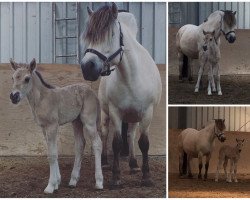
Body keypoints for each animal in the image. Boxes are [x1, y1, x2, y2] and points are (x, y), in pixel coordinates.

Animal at [9, 58, 103, 194]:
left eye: (27, 79)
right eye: (13, 78)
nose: (13, 96)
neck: (42, 99)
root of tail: (92, 92)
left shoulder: (52, 126)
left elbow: (52, 155)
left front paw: (50, 186)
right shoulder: (44, 128)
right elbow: (53, 150)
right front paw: (57, 182)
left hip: (89, 122)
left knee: (97, 144)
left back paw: (99, 182)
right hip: (76, 122)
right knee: (80, 144)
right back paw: (73, 181)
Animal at [80, 3, 162, 187]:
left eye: (111, 34)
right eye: (89, 35)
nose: (87, 67)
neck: (131, 78)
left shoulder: (147, 113)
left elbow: (143, 143)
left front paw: (146, 176)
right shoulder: (115, 112)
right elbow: (116, 143)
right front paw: (116, 177)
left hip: (134, 116)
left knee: (131, 136)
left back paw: (133, 164)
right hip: (106, 114)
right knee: (104, 133)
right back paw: (104, 162)